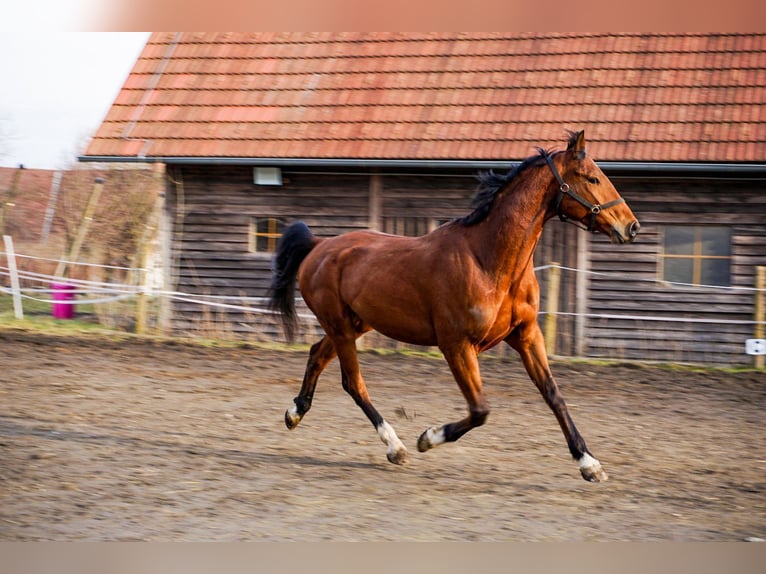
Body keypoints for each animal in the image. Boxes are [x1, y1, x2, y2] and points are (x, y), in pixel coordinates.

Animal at [268, 130, 639, 482]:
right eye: (592, 178)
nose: (631, 226)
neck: (488, 261)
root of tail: (320, 245)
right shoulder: (457, 345)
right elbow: (480, 410)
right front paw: (427, 438)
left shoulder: (526, 334)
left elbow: (554, 395)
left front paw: (589, 463)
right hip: (342, 327)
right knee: (353, 383)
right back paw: (396, 447)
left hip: (354, 324)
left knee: (317, 354)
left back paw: (295, 413)